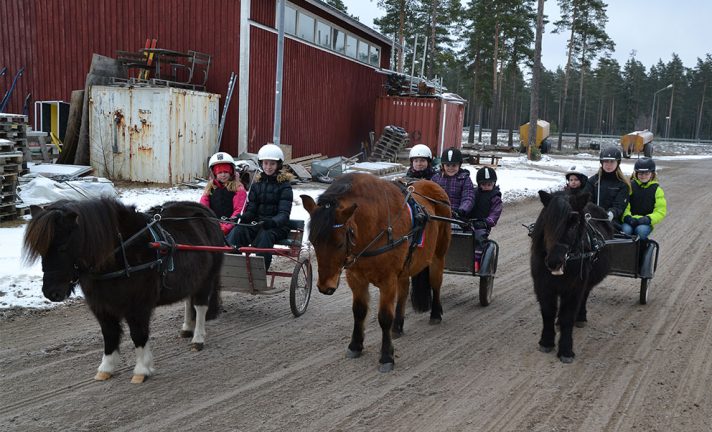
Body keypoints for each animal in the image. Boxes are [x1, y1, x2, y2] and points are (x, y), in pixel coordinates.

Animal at [23, 197, 222, 384]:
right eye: (41, 250)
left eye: (63, 247)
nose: (51, 292)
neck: (122, 252)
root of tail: (205, 212)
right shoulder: (101, 306)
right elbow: (109, 334)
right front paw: (106, 368)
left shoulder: (138, 306)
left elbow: (138, 334)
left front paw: (142, 370)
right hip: (193, 277)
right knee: (189, 300)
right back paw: (187, 327)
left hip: (207, 278)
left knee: (200, 306)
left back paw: (198, 338)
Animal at [302, 172, 450, 372]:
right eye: (313, 241)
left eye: (339, 244)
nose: (325, 287)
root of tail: (432, 184)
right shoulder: (356, 278)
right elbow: (359, 311)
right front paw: (355, 345)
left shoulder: (388, 280)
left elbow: (384, 317)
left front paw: (386, 356)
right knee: (403, 291)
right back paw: (398, 326)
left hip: (438, 255)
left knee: (436, 283)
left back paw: (435, 313)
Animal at [532, 191, 616, 362]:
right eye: (547, 221)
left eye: (574, 224)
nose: (554, 262)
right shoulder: (543, 286)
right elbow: (548, 312)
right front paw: (546, 342)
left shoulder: (574, 288)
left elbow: (568, 316)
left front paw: (565, 350)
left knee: (585, 296)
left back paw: (581, 317)